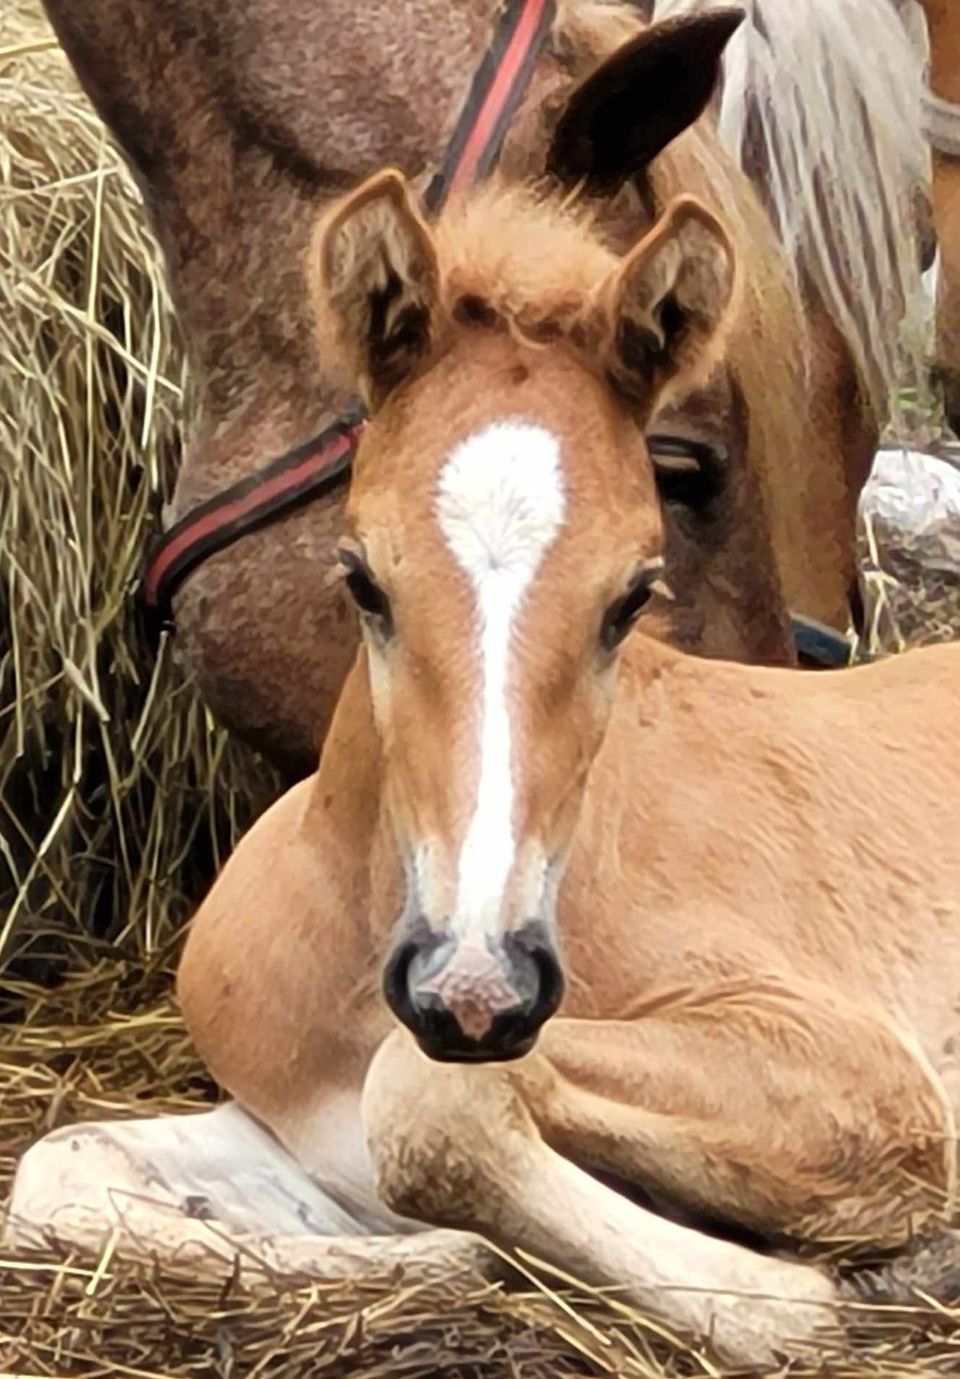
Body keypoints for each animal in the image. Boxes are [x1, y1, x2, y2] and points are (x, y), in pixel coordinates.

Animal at [11, 172, 960, 1367]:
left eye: (632, 595)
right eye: (361, 577)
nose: (474, 987)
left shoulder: (855, 1068)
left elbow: (428, 1095)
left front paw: (794, 1290)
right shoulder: (298, 1126)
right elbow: (59, 1166)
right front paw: (436, 1259)